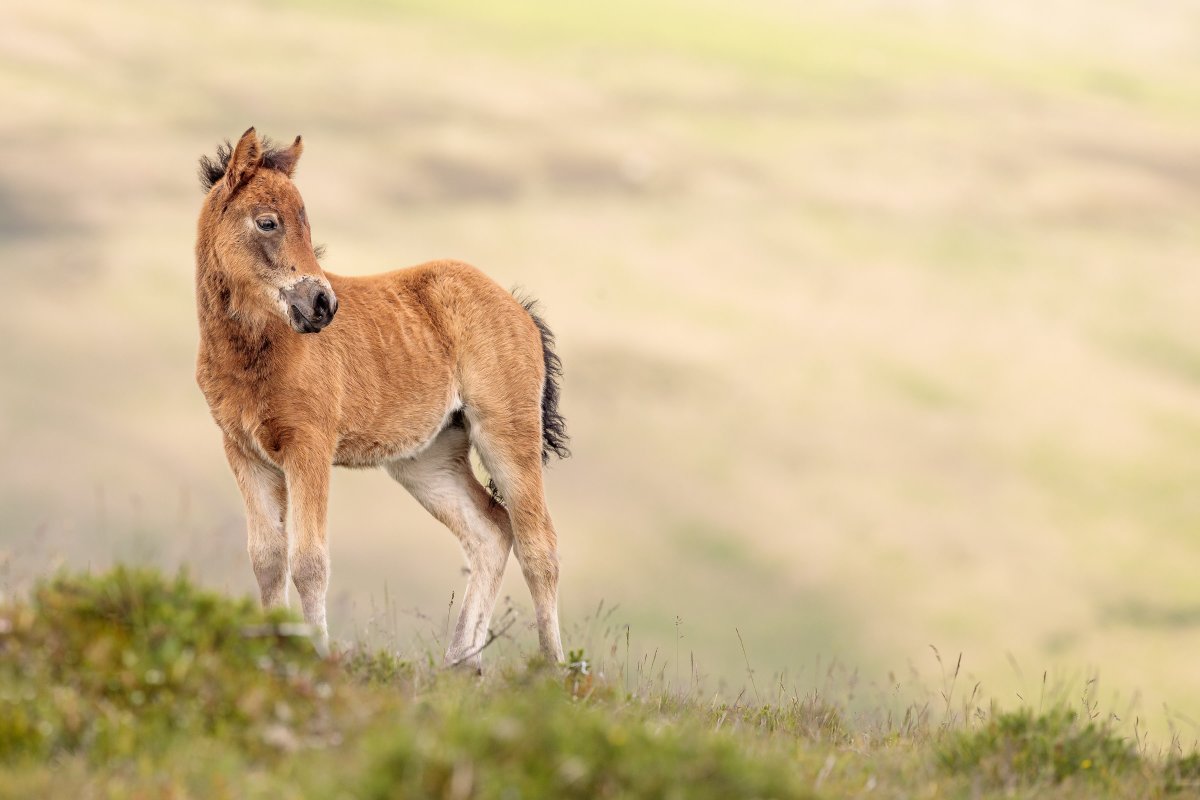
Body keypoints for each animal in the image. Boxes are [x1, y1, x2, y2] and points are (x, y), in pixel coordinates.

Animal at [193, 127, 569, 669]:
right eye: (267, 221)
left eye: (307, 223)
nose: (322, 305)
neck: (255, 351)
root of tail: (518, 308)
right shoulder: (244, 453)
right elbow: (267, 559)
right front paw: (274, 653)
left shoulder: (309, 448)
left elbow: (308, 561)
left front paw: (314, 655)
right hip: (427, 459)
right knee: (491, 532)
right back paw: (461, 664)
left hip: (507, 435)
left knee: (539, 547)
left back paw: (554, 671)